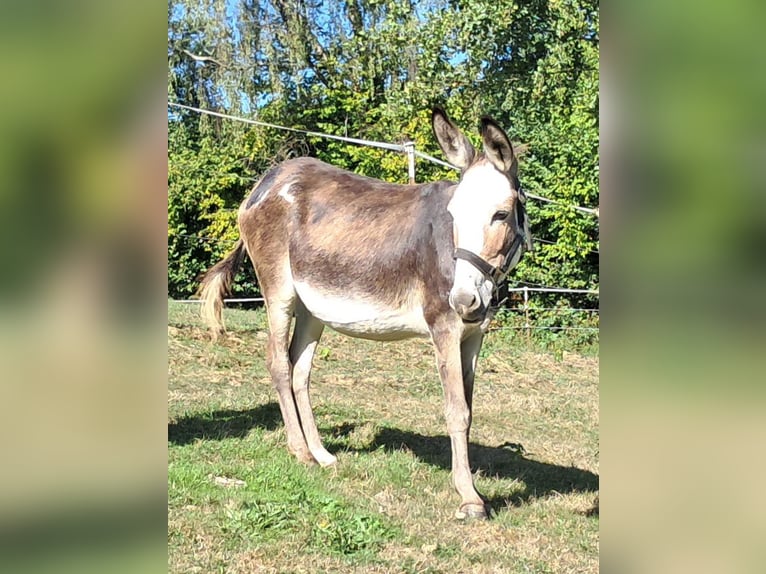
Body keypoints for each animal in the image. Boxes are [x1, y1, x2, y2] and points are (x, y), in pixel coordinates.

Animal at [197, 107, 533, 519]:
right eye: (453, 215)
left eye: (501, 215)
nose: (464, 300)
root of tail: (267, 179)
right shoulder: (444, 328)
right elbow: (456, 411)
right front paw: (470, 498)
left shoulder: (473, 336)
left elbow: (468, 409)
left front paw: (470, 485)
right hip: (279, 292)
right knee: (277, 362)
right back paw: (300, 452)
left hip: (313, 307)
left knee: (299, 370)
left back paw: (321, 454)